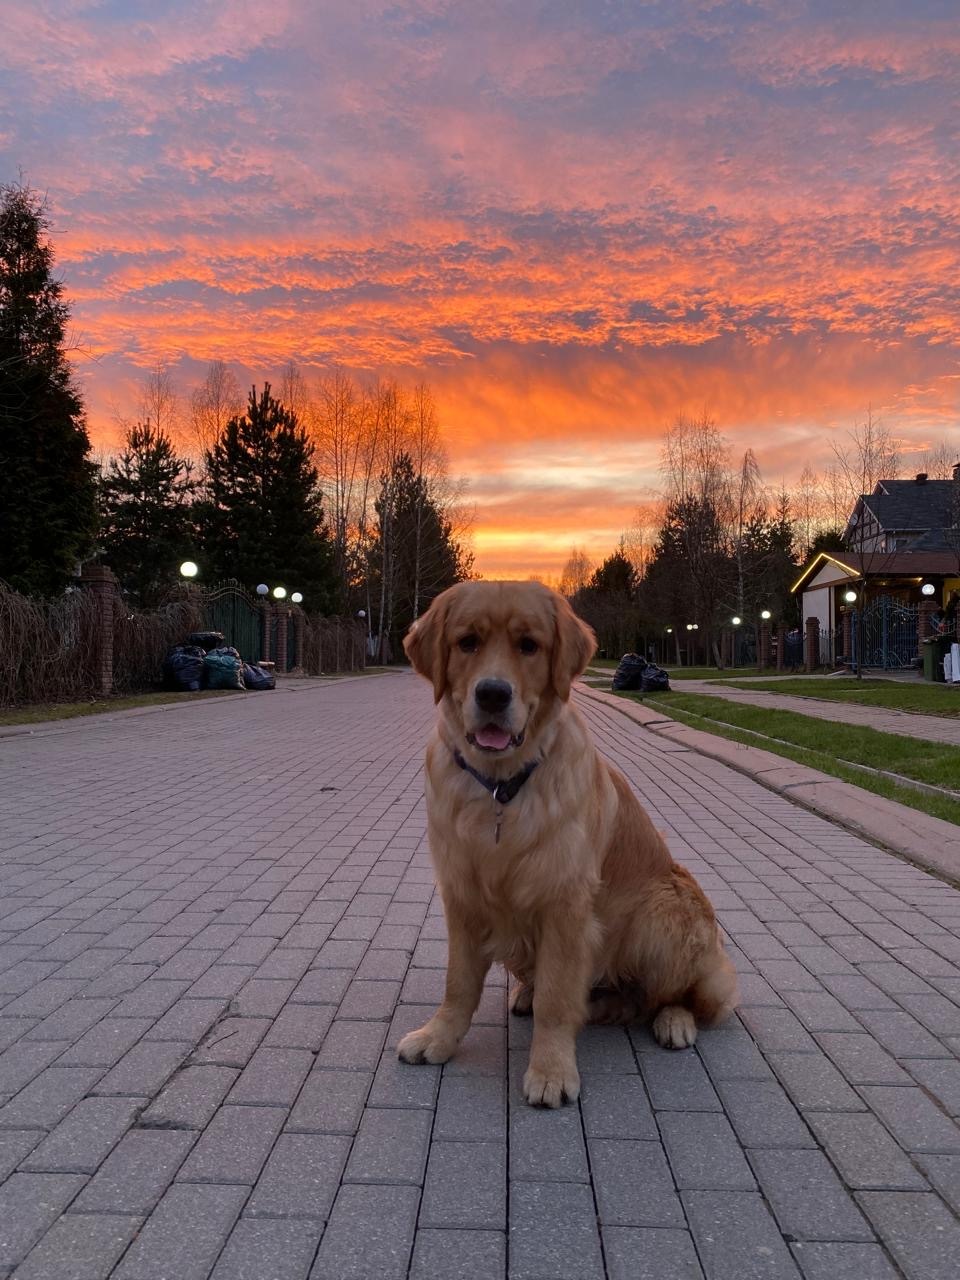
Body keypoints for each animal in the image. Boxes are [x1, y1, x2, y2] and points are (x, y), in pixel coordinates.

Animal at [394, 586, 742, 1105]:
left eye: (529, 646)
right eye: (467, 642)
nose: (492, 693)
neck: (502, 790)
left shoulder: (564, 904)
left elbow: (558, 999)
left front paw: (552, 1071)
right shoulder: (461, 896)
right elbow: (459, 984)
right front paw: (438, 1037)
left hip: (663, 910)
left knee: (679, 997)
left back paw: (673, 1022)